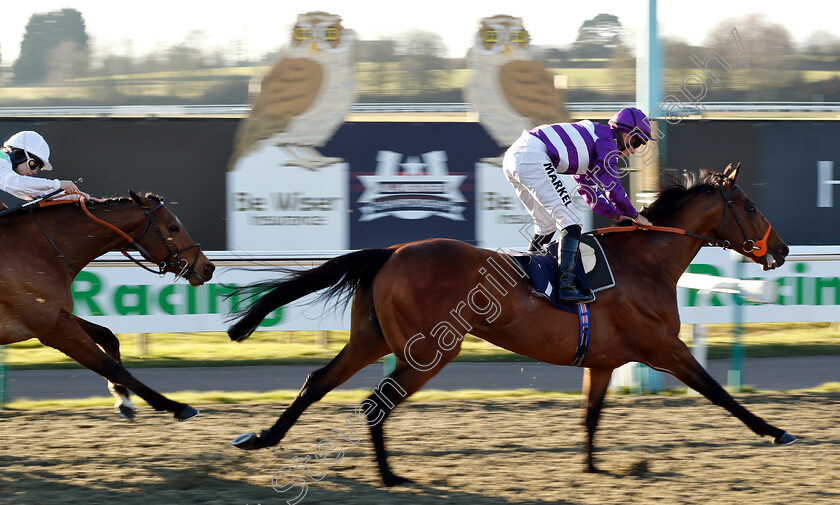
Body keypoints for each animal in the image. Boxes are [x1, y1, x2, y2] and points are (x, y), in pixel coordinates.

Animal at [1, 193, 217, 422]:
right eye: (173, 227)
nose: (208, 267)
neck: (39, 250)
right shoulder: (51, 327)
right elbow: (111, 367)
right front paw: (176, 406)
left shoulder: (58, 314)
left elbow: (107, 336)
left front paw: (123, 398)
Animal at [228, 162, 796, 484]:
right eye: (748, 205)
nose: (784, 250)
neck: (646, 263)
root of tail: (392, 250)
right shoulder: (664, 348)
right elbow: (719, 392)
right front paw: (775, 432)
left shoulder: (604, 361)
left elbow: (591, 415)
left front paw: (591, 467)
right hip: (429, 350)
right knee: (372, 404)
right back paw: (389, 476)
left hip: (371, 339)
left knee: (318, 380)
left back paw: (262, 438)